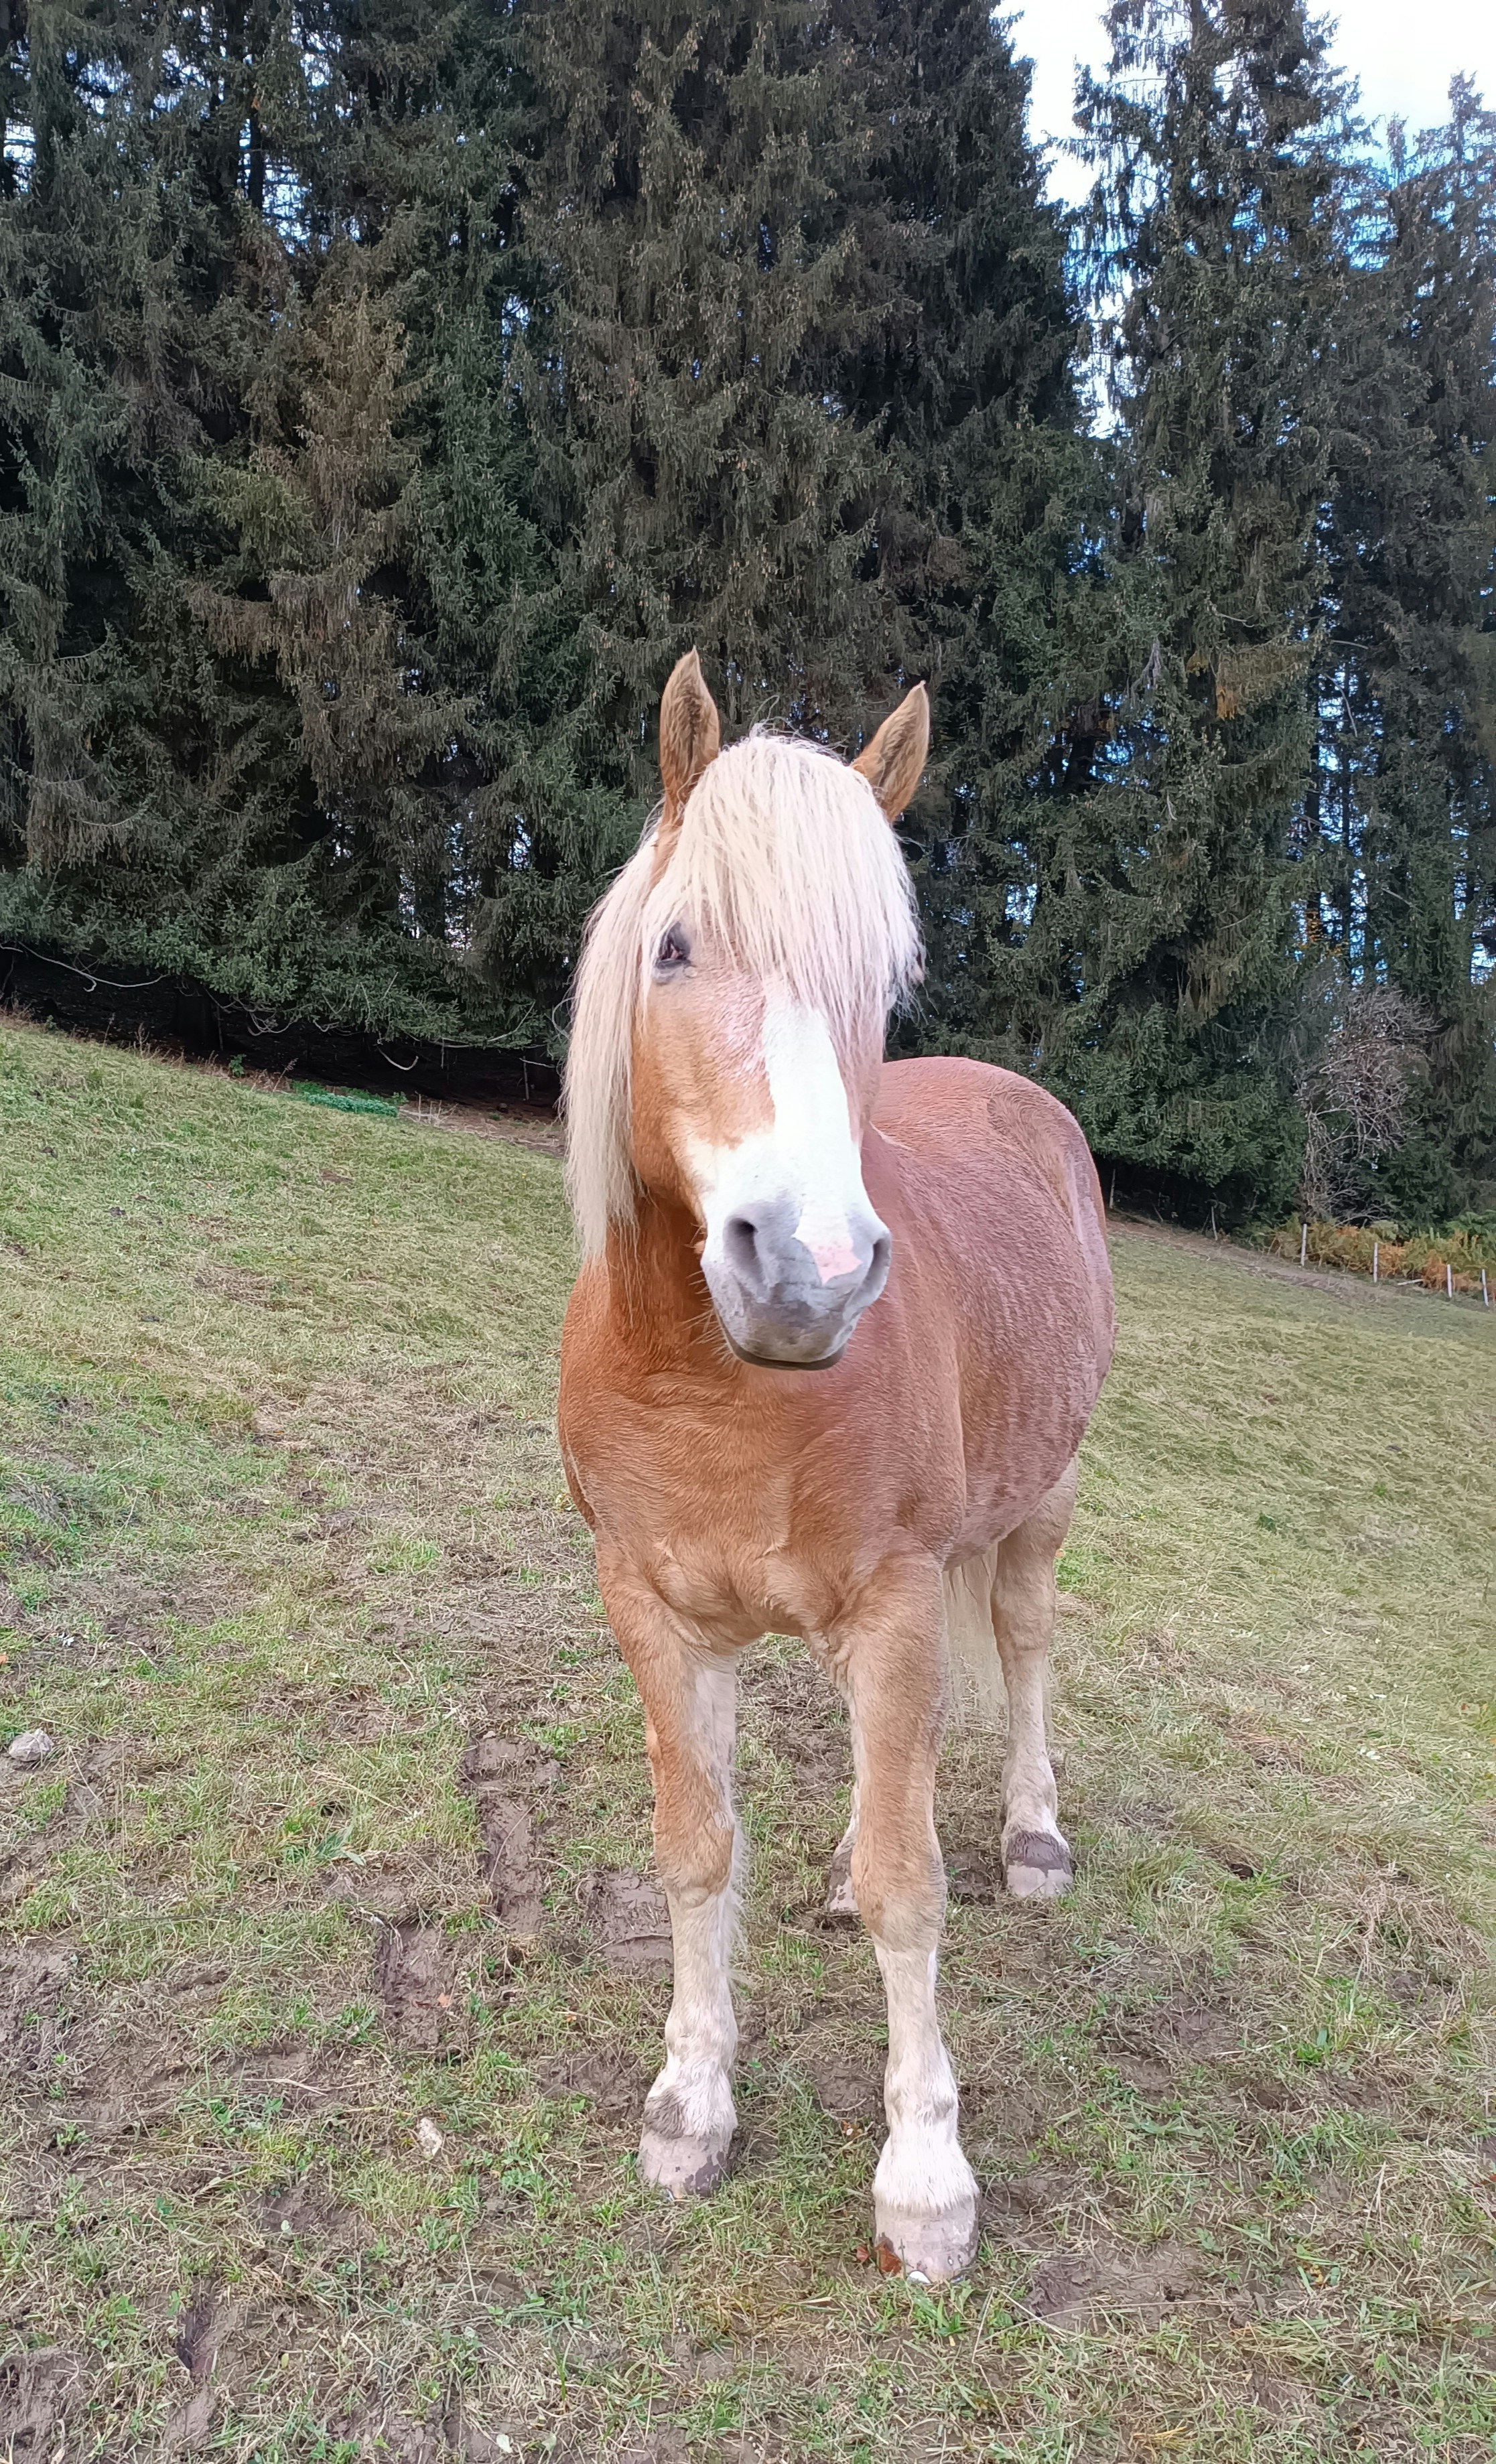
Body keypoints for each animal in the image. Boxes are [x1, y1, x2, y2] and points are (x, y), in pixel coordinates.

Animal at [557, 651, 1115, 2282]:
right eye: (675, 946)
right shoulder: (653, 1611)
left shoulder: (903, 1601)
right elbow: (696, 1849)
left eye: (881, 985)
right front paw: (689, 2104)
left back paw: (1033, 1833)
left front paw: (925, 2179)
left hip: (1038, 1508)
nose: (806, 1271)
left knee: (1026, 1646)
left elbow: (909, 1891)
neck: (709, 1387)